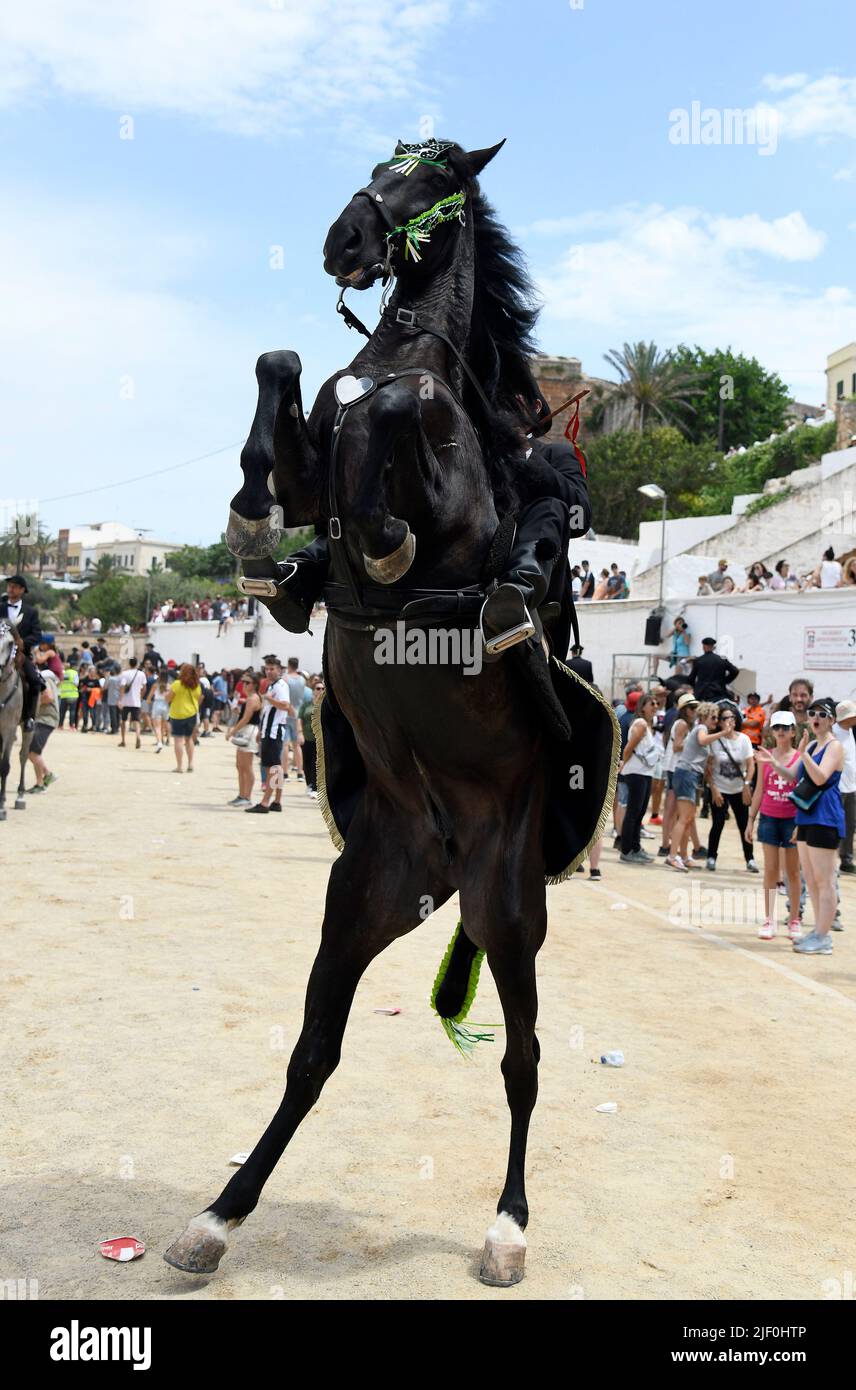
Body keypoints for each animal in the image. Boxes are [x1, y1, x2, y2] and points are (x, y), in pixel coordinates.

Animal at [163, 138, 614, 1278]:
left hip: (511, 910)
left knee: (524, 1059)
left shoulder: (464, 500)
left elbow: (405, 424)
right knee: (314, 1051)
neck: (409, 349)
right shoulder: (314, 455)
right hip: (360, 898)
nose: (344, 238)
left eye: (435, 173)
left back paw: (508, 1226)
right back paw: (218, 1215)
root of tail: (450, 858)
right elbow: (284, 370)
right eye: (379, 159)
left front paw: (381, 534)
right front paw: (258, 526)